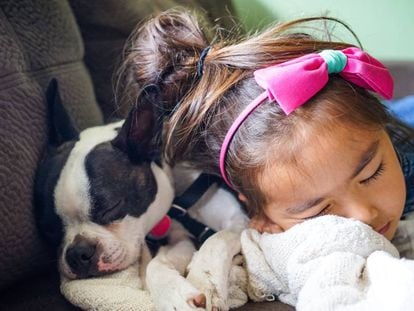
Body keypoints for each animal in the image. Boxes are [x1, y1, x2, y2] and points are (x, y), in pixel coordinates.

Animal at [34, 80, 246, 310]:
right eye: (49, 229)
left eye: (111, 207)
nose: (77, 253)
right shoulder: (180, 238)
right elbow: (155, 263)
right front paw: (172, 295)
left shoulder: (239, 219)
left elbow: (217, 240)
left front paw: (207, 281)